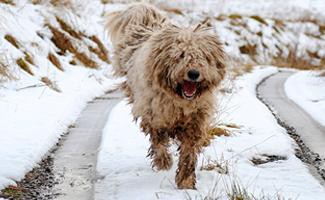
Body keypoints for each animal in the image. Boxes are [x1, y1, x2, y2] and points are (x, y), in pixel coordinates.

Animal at [106, 3, 225, 189]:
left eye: (203, 56)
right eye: (180, 55)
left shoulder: (196, 121)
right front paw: (164, 162)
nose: (193, 73)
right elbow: (158, 140)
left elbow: (188, 152)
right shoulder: (154, 115)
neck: (179, 101)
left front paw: (185, 181)